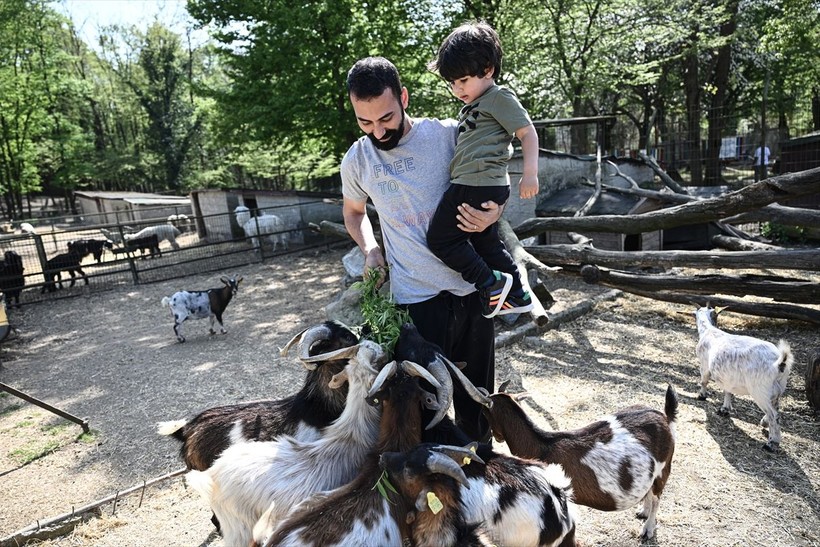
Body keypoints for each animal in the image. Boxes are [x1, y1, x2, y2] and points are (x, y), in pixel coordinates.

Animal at [484, 384, 676, 540]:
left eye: (486, 414)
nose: (496, 438)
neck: (542, 446)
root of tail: (664, 417)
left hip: (664, 467)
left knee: (657, 497)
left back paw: (647, 530)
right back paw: (643, 511)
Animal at [692, 306, 796, 452]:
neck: (709, 331)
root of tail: (779, 363)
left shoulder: (704, 364)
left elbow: (704, 380)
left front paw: (701, 396)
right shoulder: (728, 377)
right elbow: (728, 391)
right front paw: (724, 409)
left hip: (759, 391)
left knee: (773, 415)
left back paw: (771, 443)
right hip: (777, 389)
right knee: (776, 408)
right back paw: (765, 423)